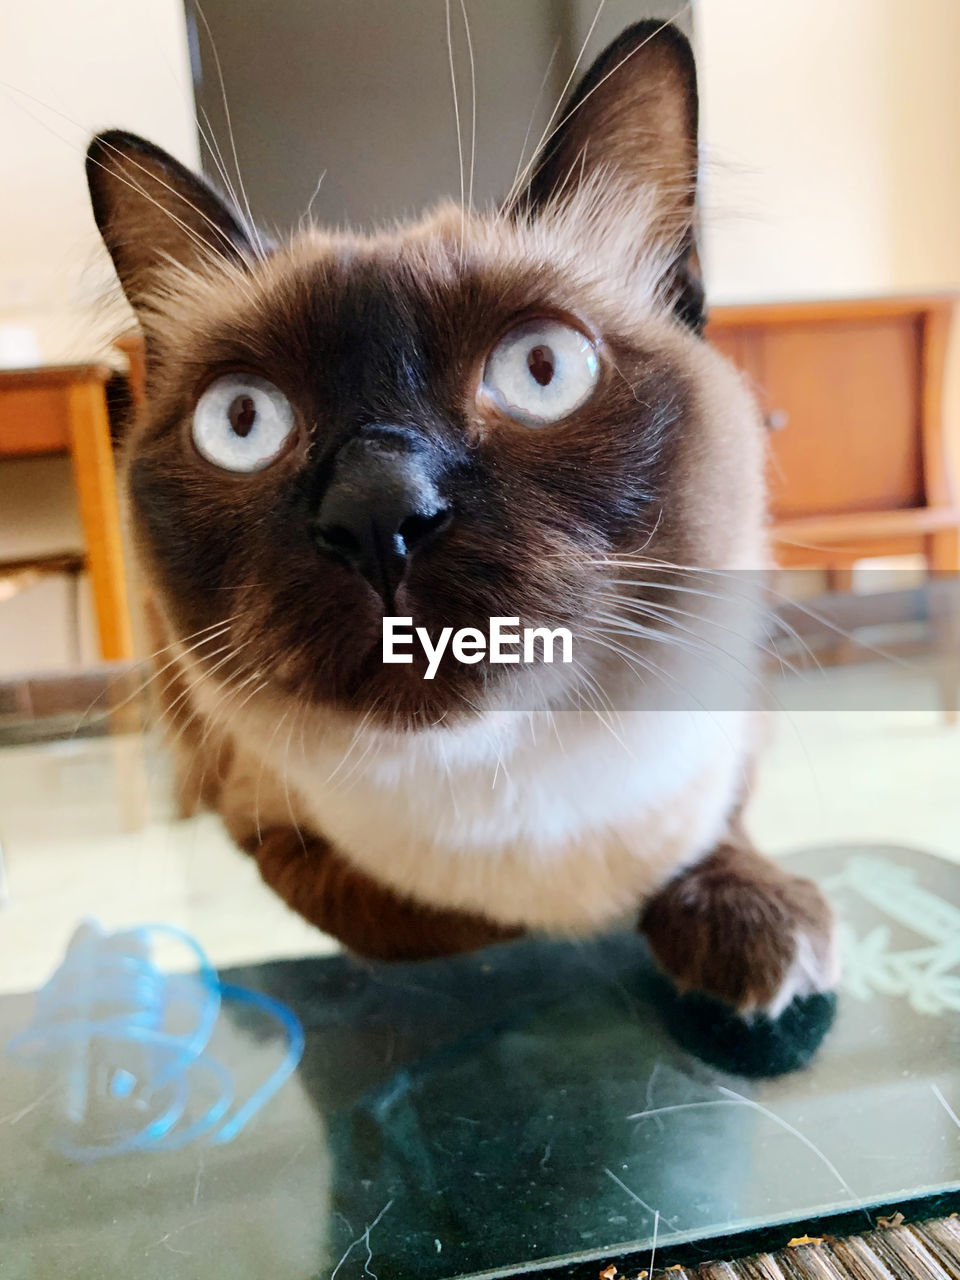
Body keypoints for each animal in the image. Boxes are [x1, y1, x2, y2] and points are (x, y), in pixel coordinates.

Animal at [88, 20, 839, 1018]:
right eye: (243, 422)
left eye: (540, 371)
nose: (379, 514)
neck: (505, 778)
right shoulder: (280, 840)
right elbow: (443, 921)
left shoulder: (731, 739)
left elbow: (710, 838)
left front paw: (751, 922)